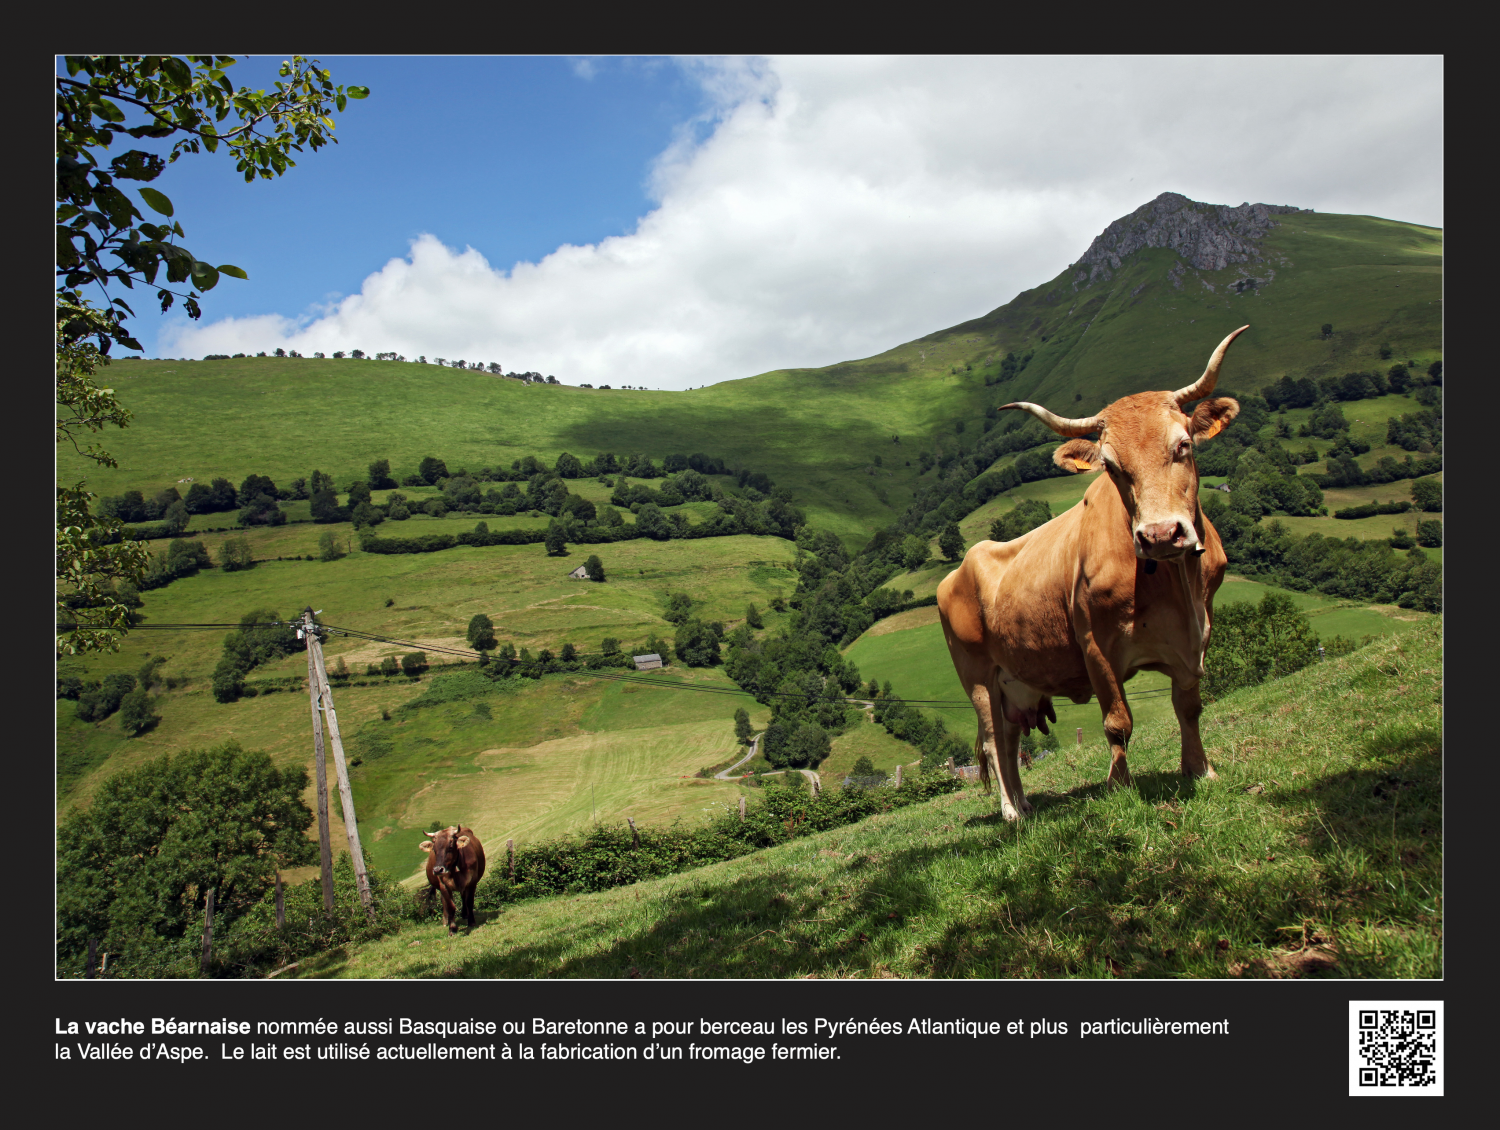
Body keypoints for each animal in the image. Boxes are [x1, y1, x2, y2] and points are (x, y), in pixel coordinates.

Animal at [936, 326, 1249, 820]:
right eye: (1112, 467)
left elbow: (1190, 708)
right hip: (979, 678)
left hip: (1014, 680)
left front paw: (1200, 769)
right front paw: (1119, 785)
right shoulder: (1095, 647)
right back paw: (1010, 812)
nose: (1160, 535)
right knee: (991, 743)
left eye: (1183, 445)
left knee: (1010, 741)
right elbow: (1117, 723)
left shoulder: (1195, 640)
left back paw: (1025, 803)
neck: (1176, 586)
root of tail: (960, 567)